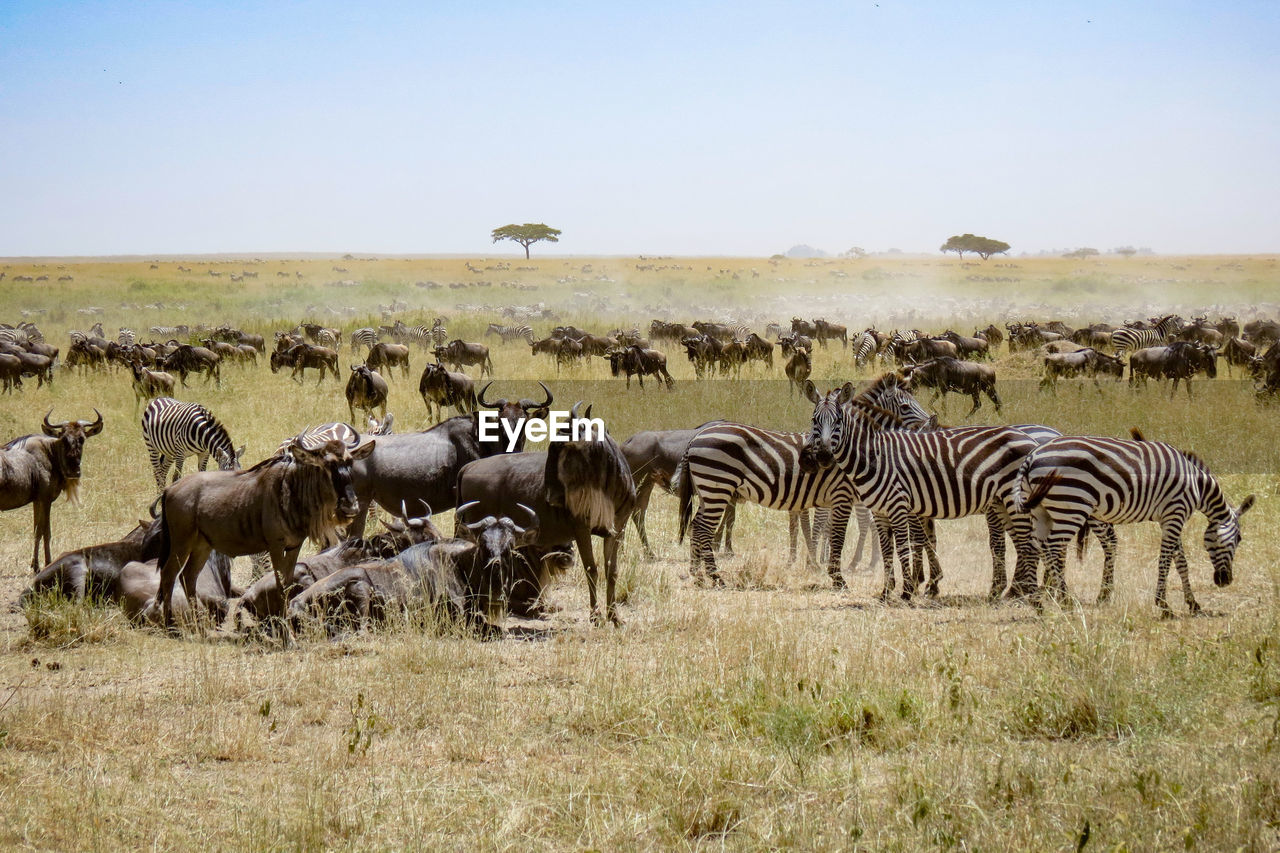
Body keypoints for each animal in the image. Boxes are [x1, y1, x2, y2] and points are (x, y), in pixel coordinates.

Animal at [670, 371, 931, 584]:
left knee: (696, 525)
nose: (930, 422)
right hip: (718, 487)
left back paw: (698, 574)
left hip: (710, 491)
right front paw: (824, 569)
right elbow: (828, 530)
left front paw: (815, 562)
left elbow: (818, 528)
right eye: (905, 406)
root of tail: (697, 436)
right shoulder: (839, 493)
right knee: (703, 528)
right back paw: (715, 577)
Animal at [1013, 432, 1254, 612]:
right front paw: (1163, 605)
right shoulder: (1175, 513)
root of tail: (1032, 457)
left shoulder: (1170, 518)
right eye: (1239, 539)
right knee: (1053, 547)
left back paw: (1037, 601)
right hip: (1072, 506)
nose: (1225, 580)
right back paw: (1065, 599)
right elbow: (1165, 559)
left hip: (1041, 510)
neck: (1197, 484)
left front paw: (1192, 603)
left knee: (1034, 546)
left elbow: (1180, 561)